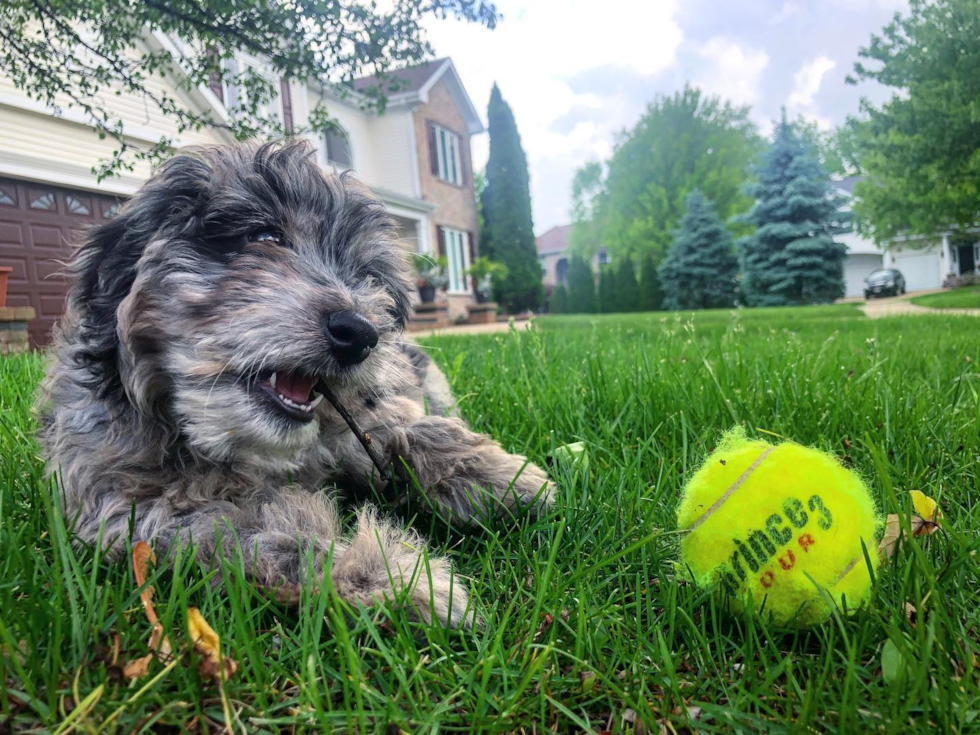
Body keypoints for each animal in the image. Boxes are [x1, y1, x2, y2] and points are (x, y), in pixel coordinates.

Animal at [38, 142, 552, 628]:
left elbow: (407, 426)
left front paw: (502, 476)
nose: (360, 333)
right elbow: (252, 534)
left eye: (366, 275)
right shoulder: (133, 503)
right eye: (264, 237)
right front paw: (387, 578)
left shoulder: (361, 418)